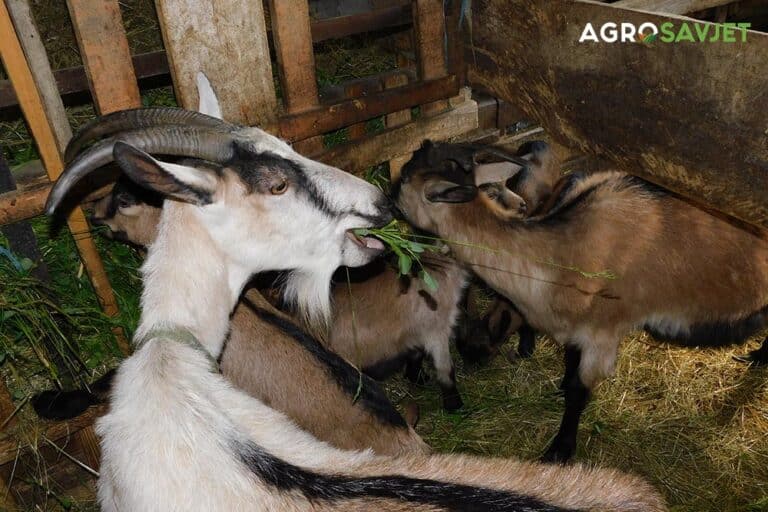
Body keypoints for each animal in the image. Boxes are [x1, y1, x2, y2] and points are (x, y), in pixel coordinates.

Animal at [392, 138, 768, 462]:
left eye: (405, 177)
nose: (390, 200)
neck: (563, 249)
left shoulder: (603, 334)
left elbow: (578, 391)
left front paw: (559, 450)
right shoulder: (576, 330)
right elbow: (569, 365)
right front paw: (558, 390)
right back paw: (755, 358)